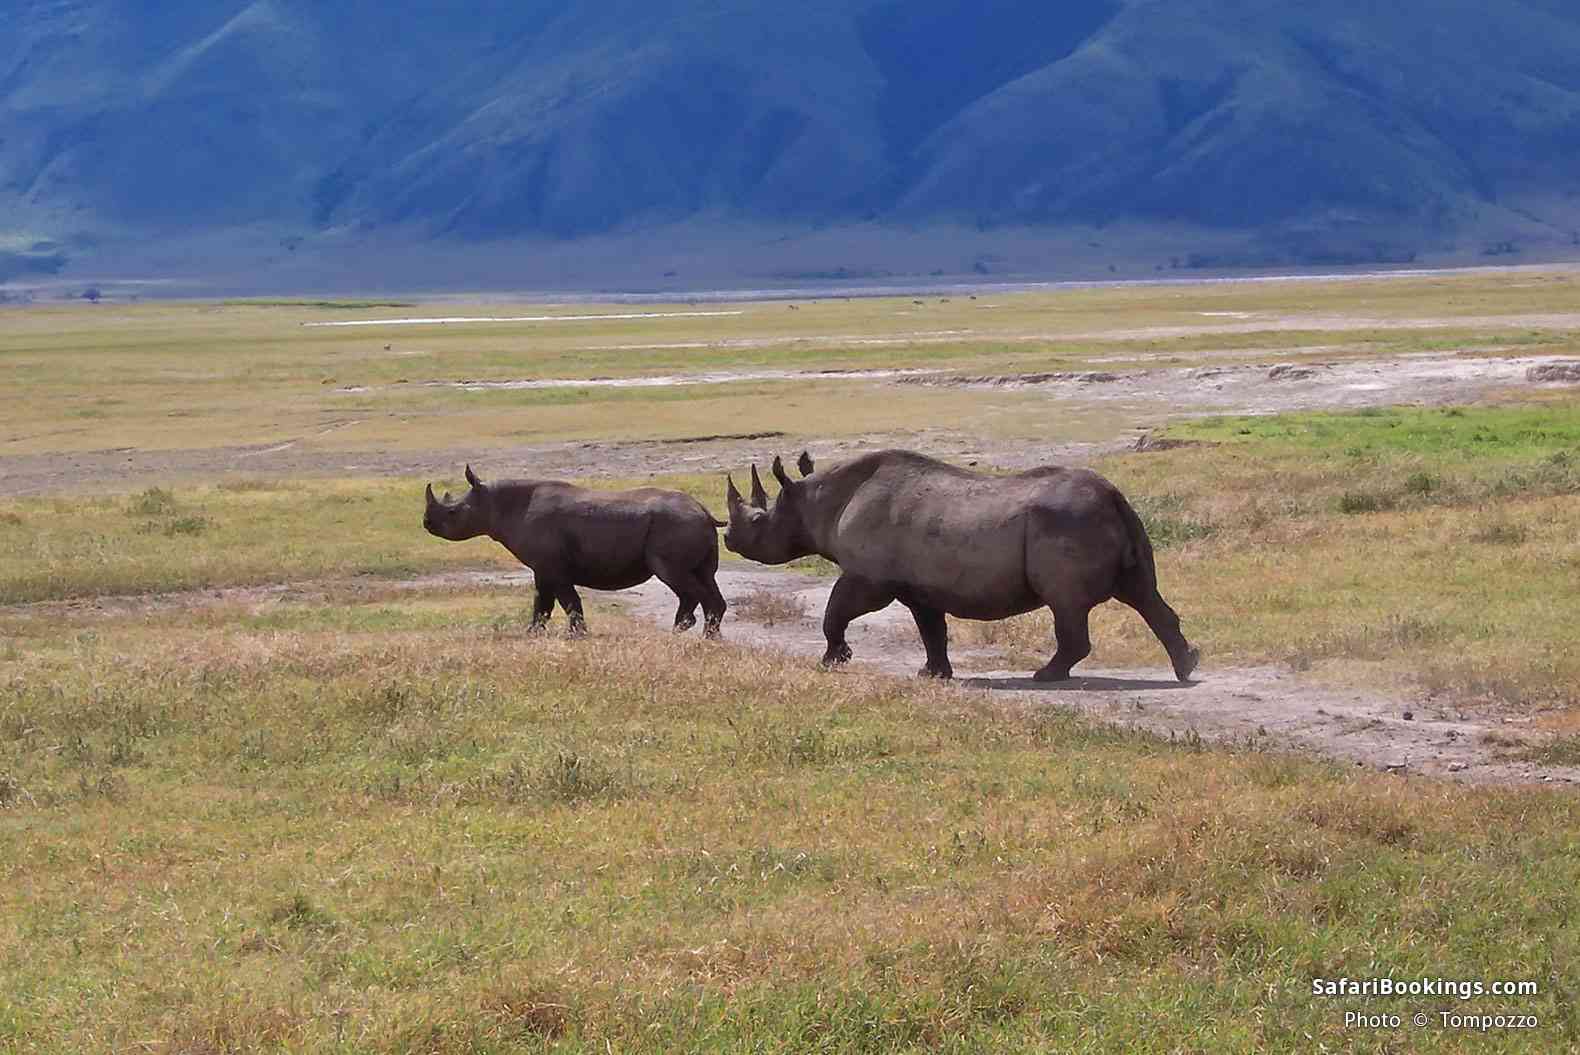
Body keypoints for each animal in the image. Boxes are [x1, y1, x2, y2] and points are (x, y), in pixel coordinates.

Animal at [424, 465, 727, 637]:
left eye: (452, 513)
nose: (426, 524)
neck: (495, 504)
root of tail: (704, 512)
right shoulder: (543, 567)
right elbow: (541, 602)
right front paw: (533, 633)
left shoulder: (554, 567)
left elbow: (568, 600)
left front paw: (576, 635)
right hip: (689, 525)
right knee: (705, 576)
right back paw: (701, 635)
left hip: (675, 526)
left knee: (675, 575)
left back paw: (689, 633)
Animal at [723, 450, 1198, 682]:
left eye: (759, 521)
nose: (728, 539)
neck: (817, 501)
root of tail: (1114, 494)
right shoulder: (917, 585)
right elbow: (931, 629)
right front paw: (932, 674)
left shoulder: (870, 577)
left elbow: (835, 610)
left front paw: (833, 661)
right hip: (1109, 519)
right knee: (1143, 593)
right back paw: (1187, 667)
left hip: (1067, 522)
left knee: (1067, 605)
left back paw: (1045, 677)